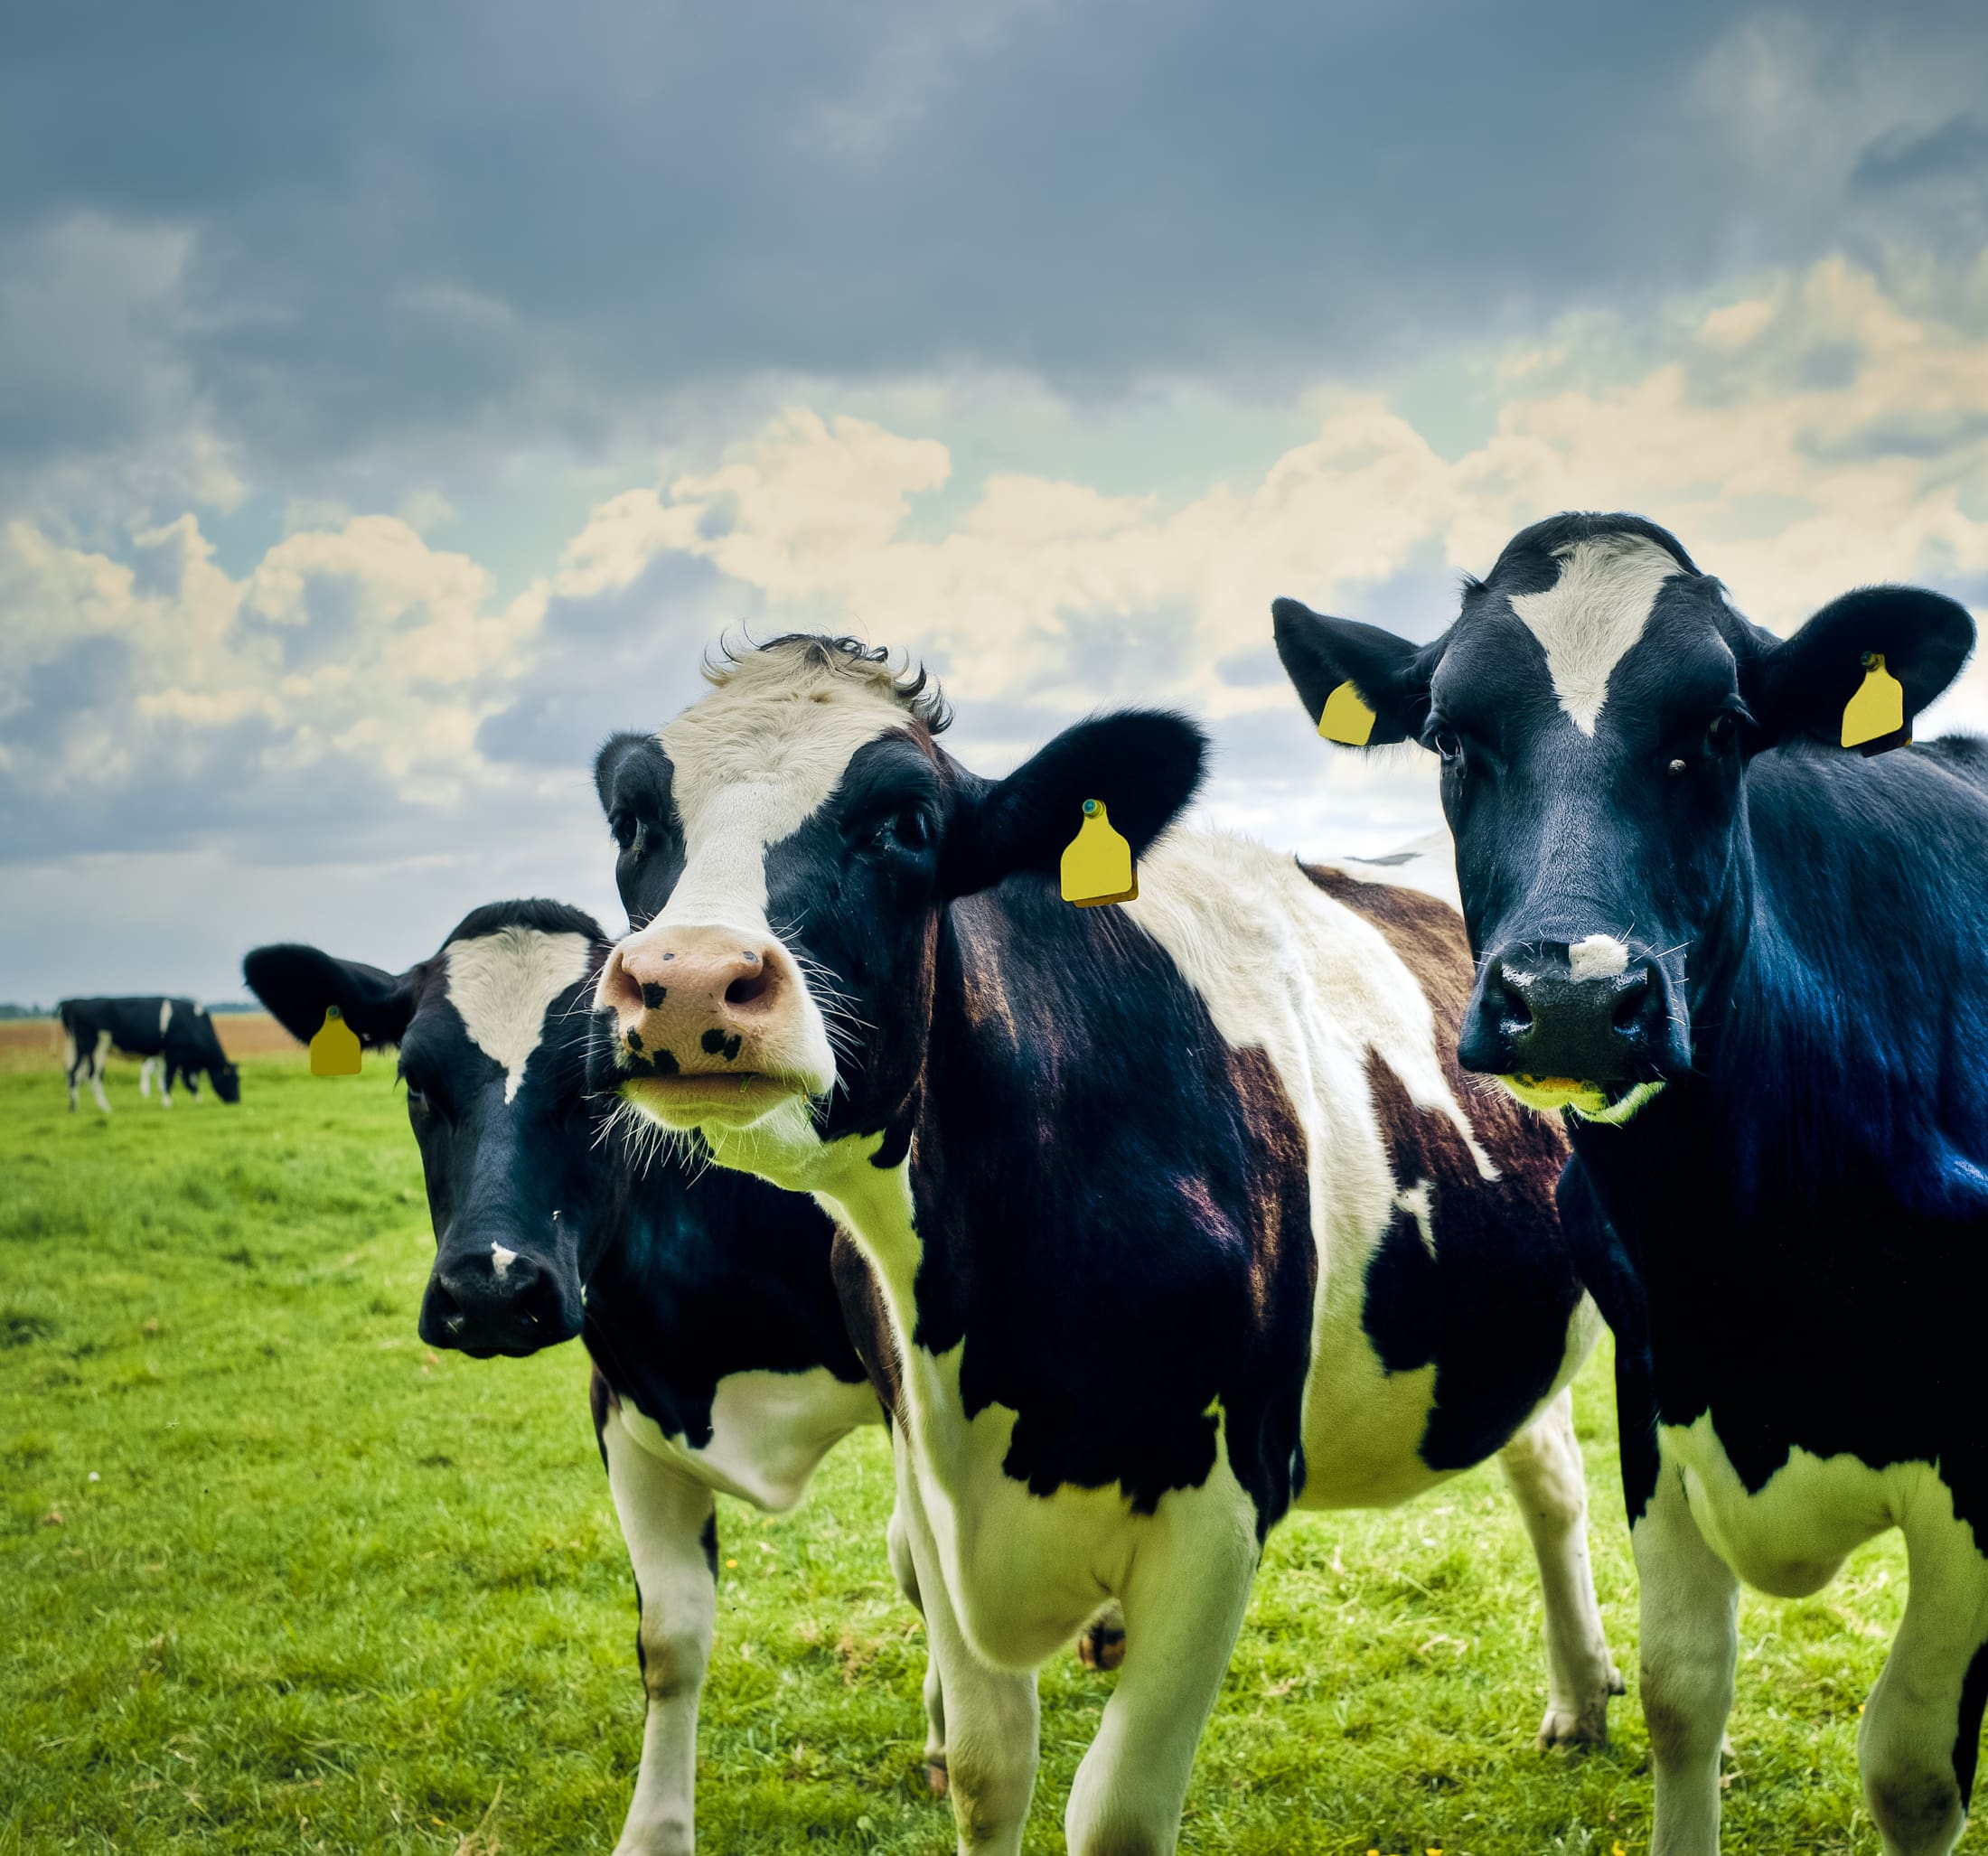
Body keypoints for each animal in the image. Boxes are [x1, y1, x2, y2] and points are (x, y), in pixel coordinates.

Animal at [56, 996, 241, 1112]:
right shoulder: (172, 1054)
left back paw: (73, 1106)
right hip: (97, 1046)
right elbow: (168, 1078)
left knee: (73, 1073)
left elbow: (190, 1082)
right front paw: (167, 1103)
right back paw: (105, 1108)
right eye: (232, 1079)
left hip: (76, 1047)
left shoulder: (176, 1059)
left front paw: (197, 1100)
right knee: (91, 1076)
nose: (237, 1101)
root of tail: (72, 1003)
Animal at [244, 899, 1115, 1855]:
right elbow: (669, 1641)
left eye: (599, 1086)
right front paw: (653, 1831)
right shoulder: (624, 1403)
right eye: (415, 1083)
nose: (492, 1290)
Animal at [587, 634, 1624, 1856]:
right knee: (1545, 1465)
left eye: (904, 820)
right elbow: (988, 1770)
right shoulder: (931, 1486)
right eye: (634, 822)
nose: (689, 979)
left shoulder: (1223, 1503)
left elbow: (1117, 1809)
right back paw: (1577, 1693)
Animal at [1272, 512, 1986, 1856]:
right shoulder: (1658, 1396)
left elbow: (1913, 1763)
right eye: (1449, 736)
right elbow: (1681, 1691)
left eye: (1719, 725)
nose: (1569, 995)